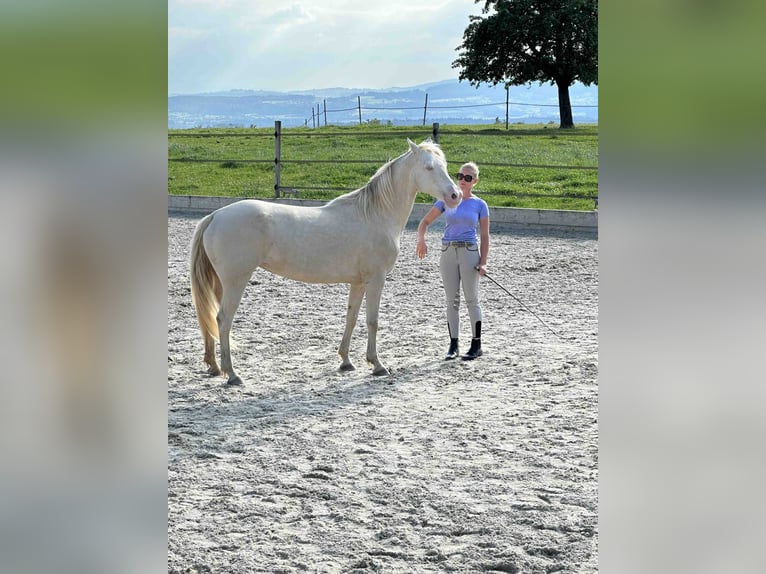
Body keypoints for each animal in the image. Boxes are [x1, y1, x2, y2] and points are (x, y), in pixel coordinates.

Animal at [190, 138, 462, 388]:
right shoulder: (376, 279)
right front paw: (377, 365)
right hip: (236, 281)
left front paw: (346, 361)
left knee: (210, 317)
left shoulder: (359, 282)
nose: (455, 195)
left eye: (444, 165)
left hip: (220, 283)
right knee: (223, 320)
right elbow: (372, 321)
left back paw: (213, 367)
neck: (374, 215)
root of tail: (216, 215)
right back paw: (232, 374)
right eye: (429, 167)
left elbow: (351, 317)